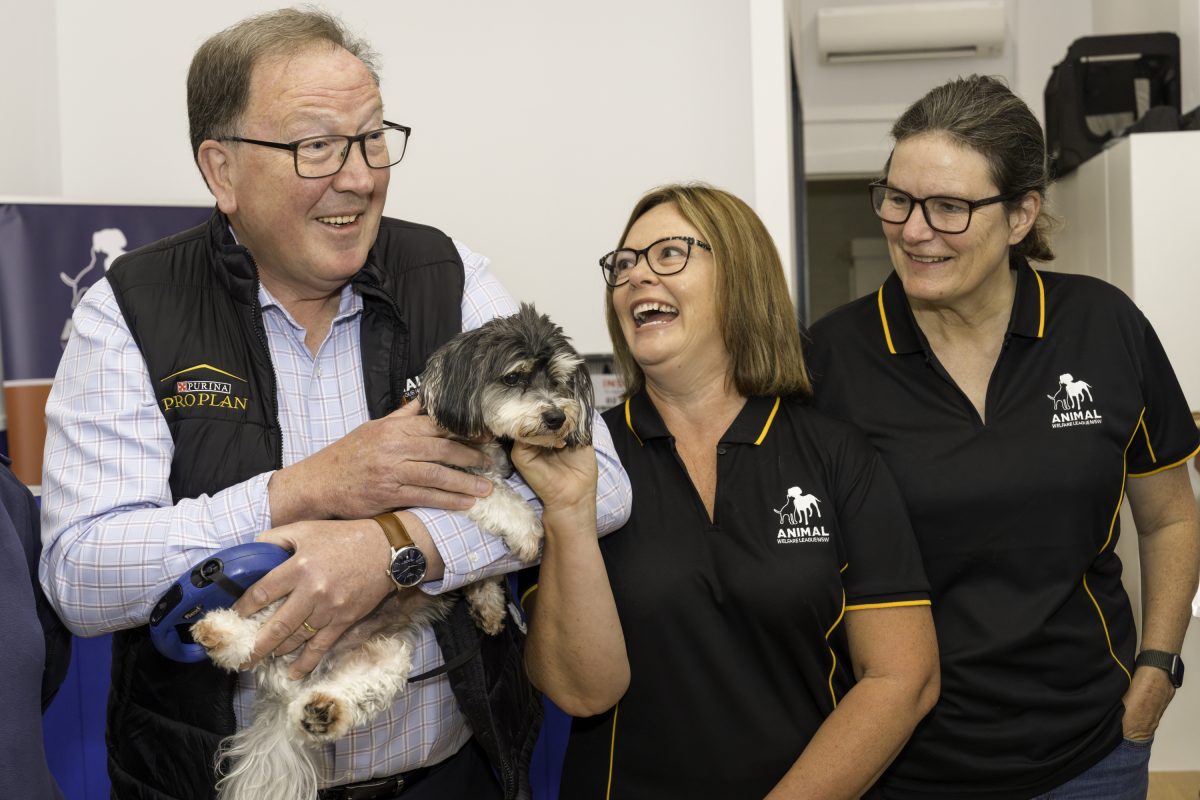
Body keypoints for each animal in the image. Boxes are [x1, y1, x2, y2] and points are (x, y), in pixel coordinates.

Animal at [190, 304, 595, 800]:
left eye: (558, 380)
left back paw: (322, 711)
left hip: (384, 658)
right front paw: (524, 527)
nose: (556, 417)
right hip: (289, 587)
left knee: (348, 691)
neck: (472, 435)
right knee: (255, 631)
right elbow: (495, 494)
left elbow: (485, 570)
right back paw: (223, 633)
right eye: (515, 377)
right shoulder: (438, 482)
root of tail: (289, 681)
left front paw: (488, 604)